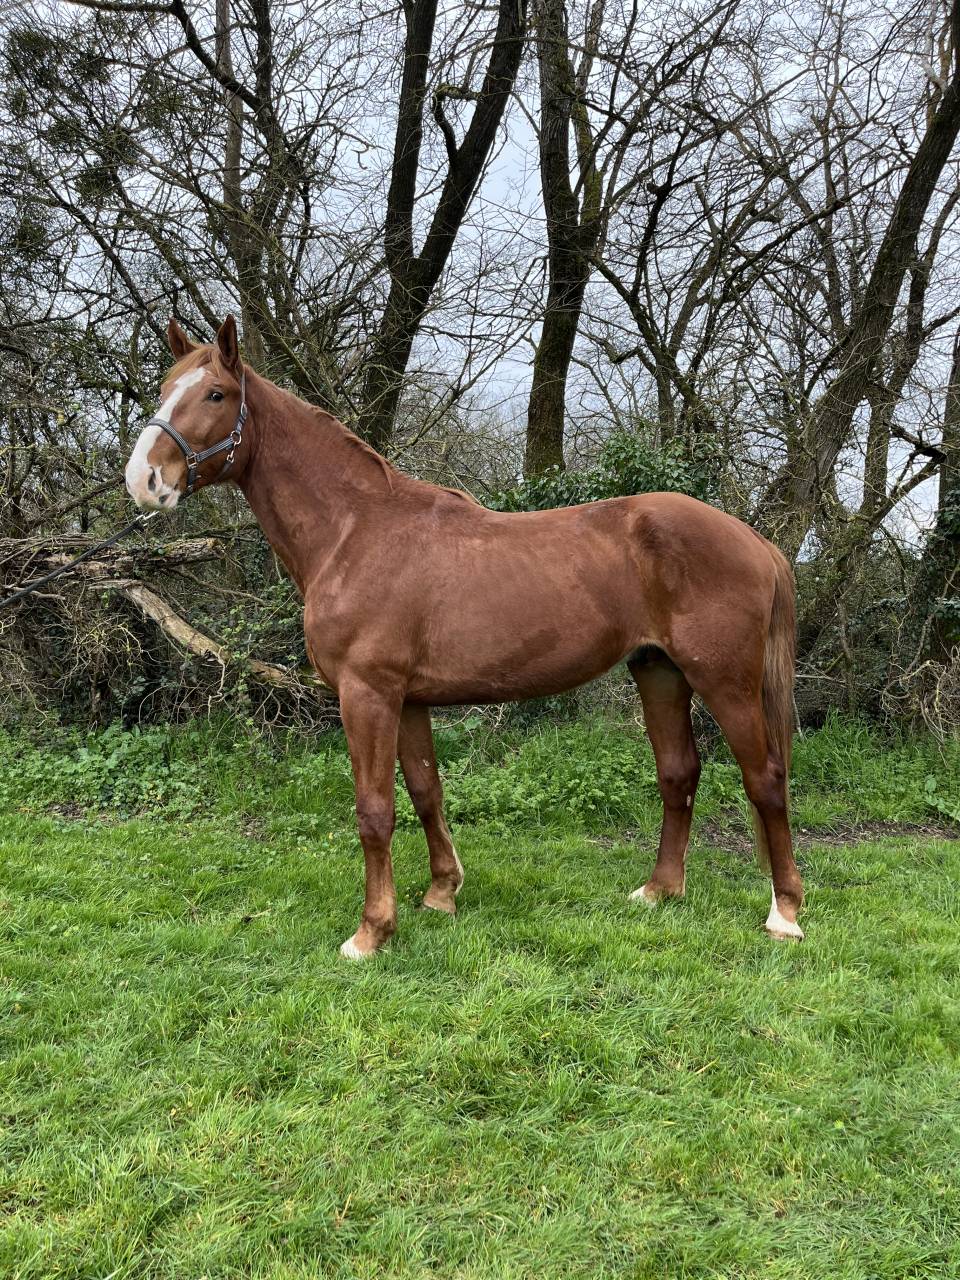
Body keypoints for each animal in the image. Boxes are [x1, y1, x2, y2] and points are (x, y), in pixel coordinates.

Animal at [124, 316, 805, 958]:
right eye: (163, 388)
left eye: (215, 393)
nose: (144, 479)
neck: (355, 532)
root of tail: (755, 543)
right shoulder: (408, 699)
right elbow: (427, 792)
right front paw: (441, 894)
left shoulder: (366, 693)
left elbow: (374, 811)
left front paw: (371, 932)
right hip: (659, 670)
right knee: (678, 773)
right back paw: (660, 890)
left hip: (724, 680)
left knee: (766, 778)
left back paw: (785, 915)